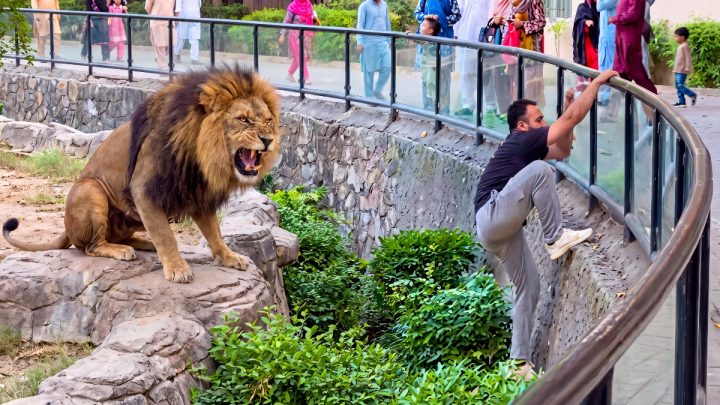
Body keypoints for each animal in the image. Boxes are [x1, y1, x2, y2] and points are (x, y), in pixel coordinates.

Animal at [2, 65, 281, 283]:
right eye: (243, 119)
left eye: (268, 120)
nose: (268, 140)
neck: (202, 156)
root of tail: (66, 228)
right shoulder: (144, 190)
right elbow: (166, 236)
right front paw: (177, 269)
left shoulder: (197, 194)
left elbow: (214, 233)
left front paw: (229, 257)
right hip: (90, 189)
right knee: (91, 246)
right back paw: (121, 250)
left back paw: (143, 244)